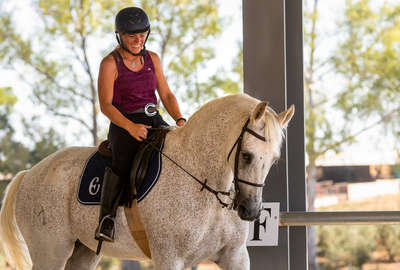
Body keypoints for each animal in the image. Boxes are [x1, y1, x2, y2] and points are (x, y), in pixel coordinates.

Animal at [0, 93, 294, 270]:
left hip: (82, 252)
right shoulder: (170, 258)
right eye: (246, 155)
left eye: (274, 160)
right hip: (51, 252)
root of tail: (28, 174)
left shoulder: (234, 256)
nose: (250, 210)